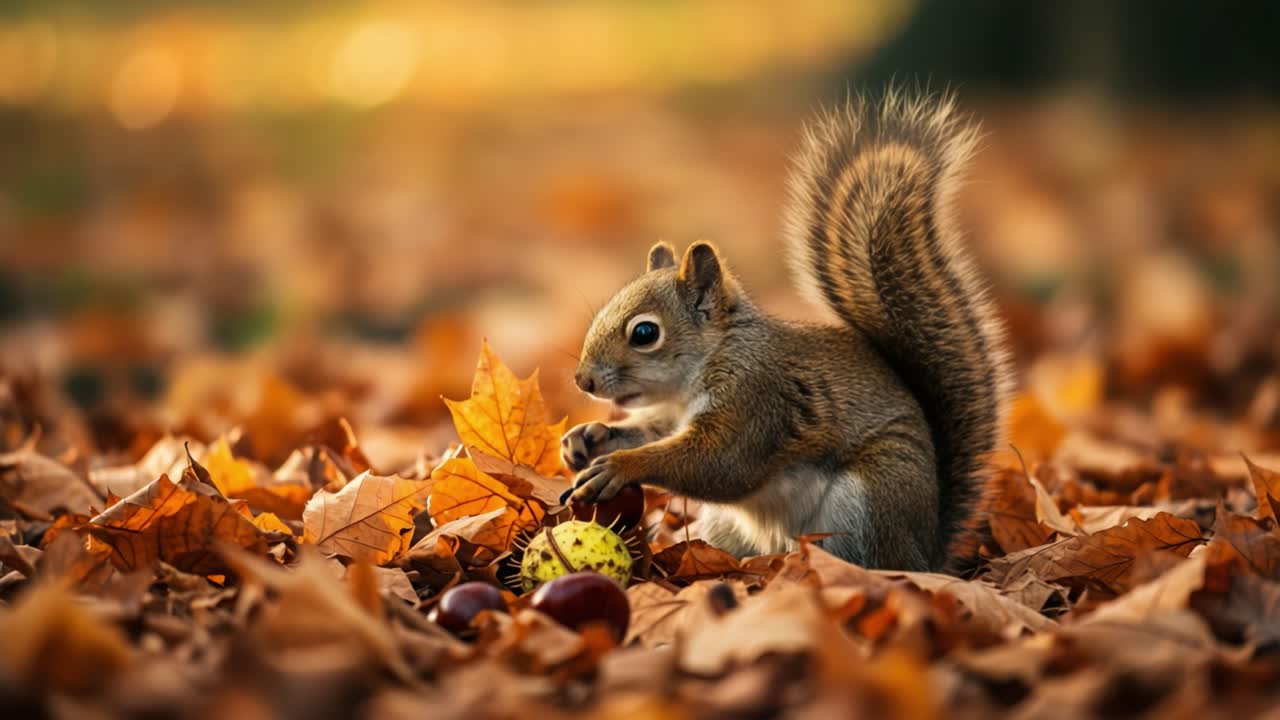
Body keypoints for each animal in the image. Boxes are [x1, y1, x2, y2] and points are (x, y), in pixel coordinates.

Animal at [560, 91, 1012, 572]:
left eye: (645, 333)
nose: (583, 380)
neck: (713, 360)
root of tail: (928, 552)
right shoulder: (674, 415)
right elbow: (654, 433)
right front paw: (589, 437)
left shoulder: (757, 401)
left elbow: (717, 463)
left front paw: (621, 465)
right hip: (728, 525)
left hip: (868, 501)